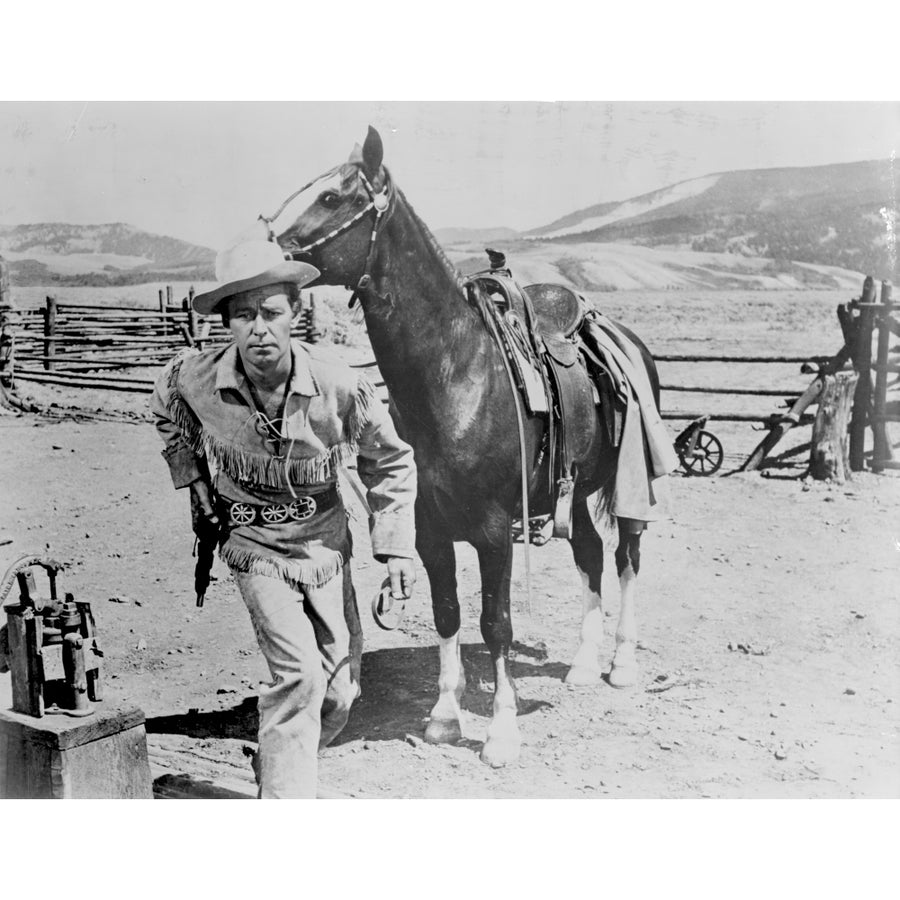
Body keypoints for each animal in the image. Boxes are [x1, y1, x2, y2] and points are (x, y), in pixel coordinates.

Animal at [278, 126, 672, 768]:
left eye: (333, 197)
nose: (267, 251)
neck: (456, 376)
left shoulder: (492, 531)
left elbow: (496, 624)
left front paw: (502, 734)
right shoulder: (428, 529)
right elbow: (448, 614)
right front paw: (443, 717)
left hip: (627, 485)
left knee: (626, 557)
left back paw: (620, 664)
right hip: (573, 494)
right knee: (590, 553)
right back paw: (584, 666)